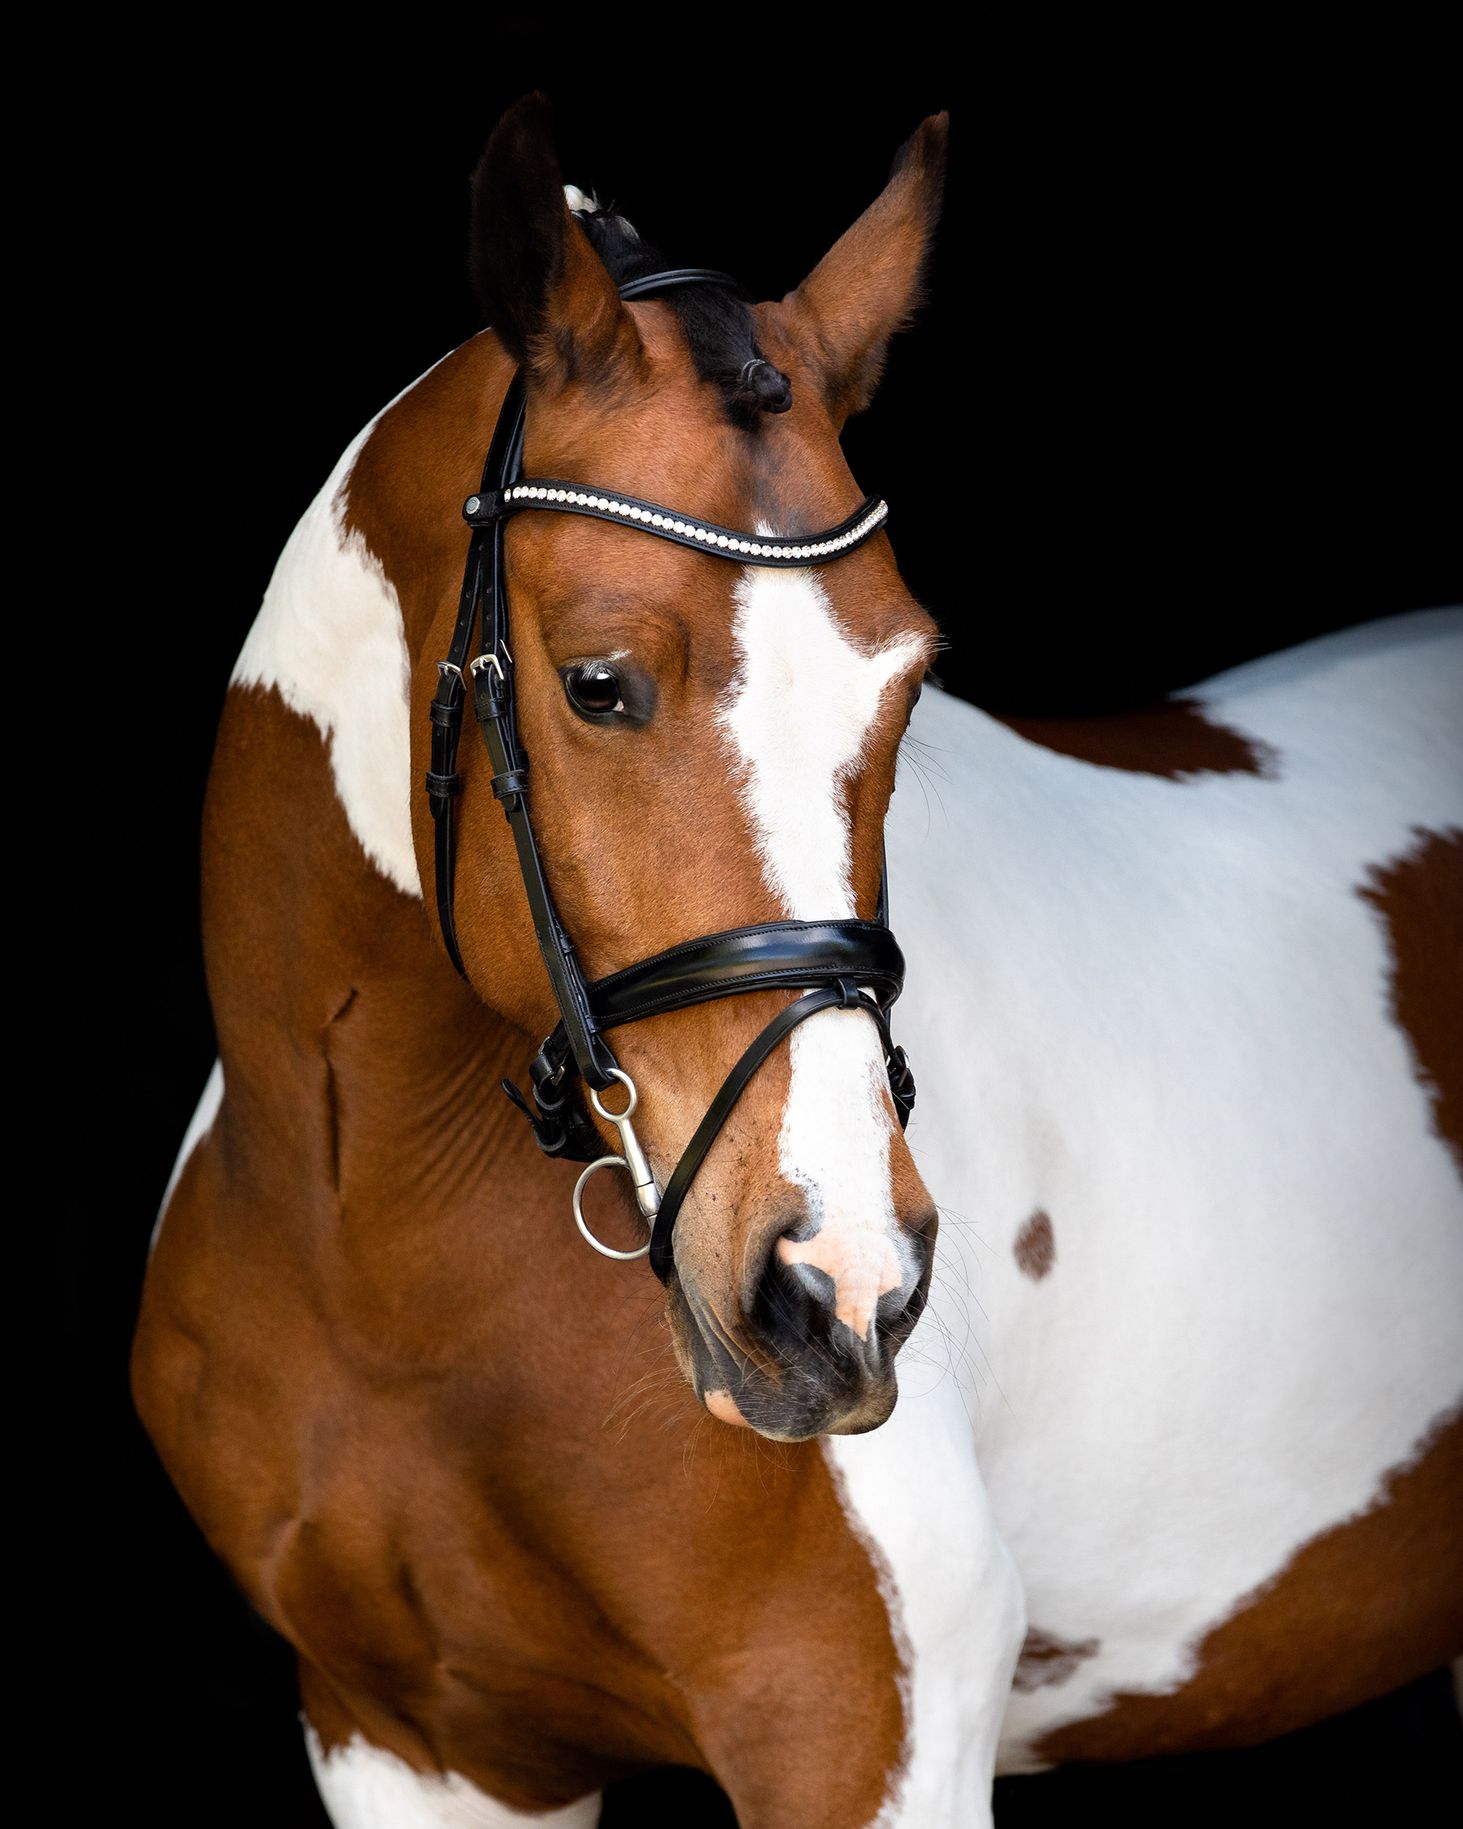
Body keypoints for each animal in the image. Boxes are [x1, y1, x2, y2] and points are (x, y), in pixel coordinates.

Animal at [133, 95, 1463, 1828]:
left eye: (906, 680)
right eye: (598, 683)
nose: (836, 1292)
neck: (380, 1232)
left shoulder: (852, 1732)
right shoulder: (413, 1739)